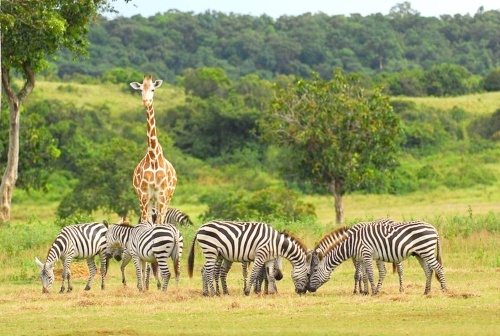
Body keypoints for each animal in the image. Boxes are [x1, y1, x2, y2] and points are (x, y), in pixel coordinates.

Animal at [130, 75, 177, 224]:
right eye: (140, 90)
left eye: (153, 89)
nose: (145, 102)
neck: (153, 156)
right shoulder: (144, 195)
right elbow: (146, 223)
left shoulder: (162, 195)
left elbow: (159, 223)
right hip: (148, 199)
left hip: (167, 197)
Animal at [306, 220, 448, 294]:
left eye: (314, 271)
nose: (308, 289)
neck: (352, 243)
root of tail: (434, 229)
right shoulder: (361, 257)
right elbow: (362, 275)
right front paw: (366, 291)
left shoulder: (366, 254)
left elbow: (369, 274)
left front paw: (372, 292)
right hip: (420, 254)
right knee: (428, 270)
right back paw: (426, 291)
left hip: (426, 250)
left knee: (439, 268)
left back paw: (444, 290)